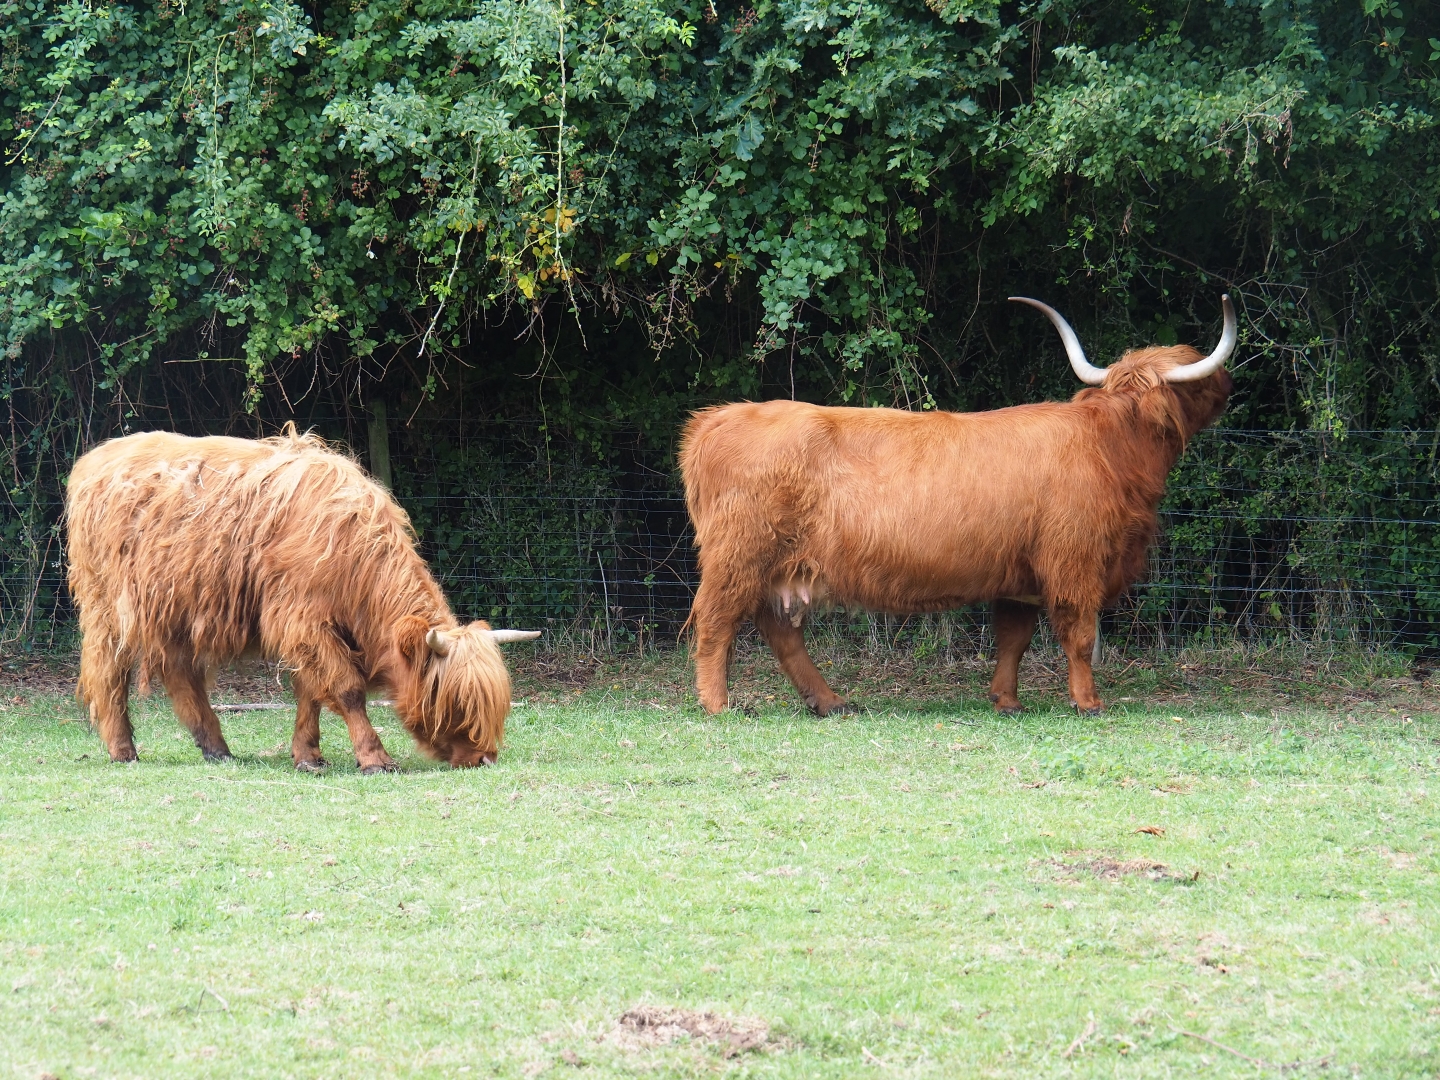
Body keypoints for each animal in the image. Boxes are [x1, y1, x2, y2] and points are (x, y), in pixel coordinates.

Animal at [65, 426, 539, 772]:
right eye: (457, 702)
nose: (484, 757)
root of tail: (97, 457)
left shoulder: (307, 629)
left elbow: (310, 692)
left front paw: (308, 756)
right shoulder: (303, 619)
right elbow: (346, 689)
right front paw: (374, 758)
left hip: (175, 608)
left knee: (180, 673)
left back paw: (218, 749)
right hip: (108, 606)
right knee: (108, 672)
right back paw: (123, 751)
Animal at [679, 295, 1236, 717]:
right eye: (1199, 378)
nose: (1228, 386)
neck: (1110, 446)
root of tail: (717, 418)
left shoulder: (1020, 576)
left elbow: (1014, 639)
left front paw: (1007, 702)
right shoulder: (1074, 563)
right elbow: (1078, 636)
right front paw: (1088, 703)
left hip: (776, 569)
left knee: (780, 633)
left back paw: (831, 702)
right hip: (739, 557)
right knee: (715, 622)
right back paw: (718, 705)